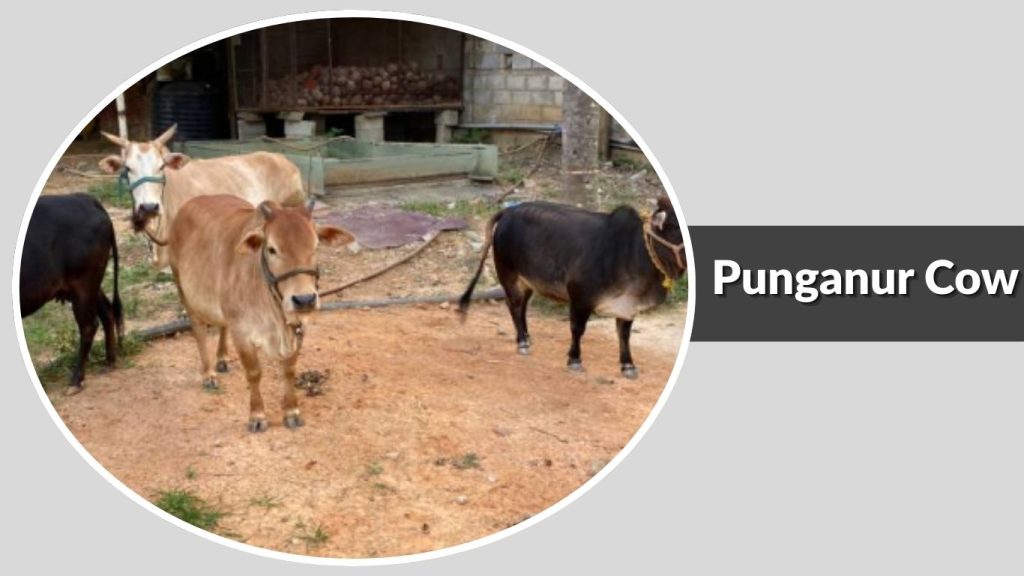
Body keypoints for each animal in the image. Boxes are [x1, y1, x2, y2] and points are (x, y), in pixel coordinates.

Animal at [20, 193, 123, 394]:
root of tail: (82, 197)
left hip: (83, 285)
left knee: (89, 326)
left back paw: (76, 380)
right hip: (88, 286)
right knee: (106, 311)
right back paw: (109, 361)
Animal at [166, 195, 352, 432]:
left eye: (316, 246)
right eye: (271, 249)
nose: (304, 300)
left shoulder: (298, 327)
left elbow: (288, 370)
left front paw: (292, 412)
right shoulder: (242, 334)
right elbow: (254, 373)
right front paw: (257, 416)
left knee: (221, 325)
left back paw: (222, 359)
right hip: (184, 290)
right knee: (199, 332)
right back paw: (208, 374)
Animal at [459, 195, 686, 379]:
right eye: (676, 228)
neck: (632, 252)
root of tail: (509, 211)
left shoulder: (627, 306)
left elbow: (624, 335)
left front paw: (628, 365)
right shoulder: (580, 298)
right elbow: (577, 329)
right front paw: (574, 360)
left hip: (529, 281)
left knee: (522, 307)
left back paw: (526, 337)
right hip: (509, 274)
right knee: (513, 305)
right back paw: (522, 342)